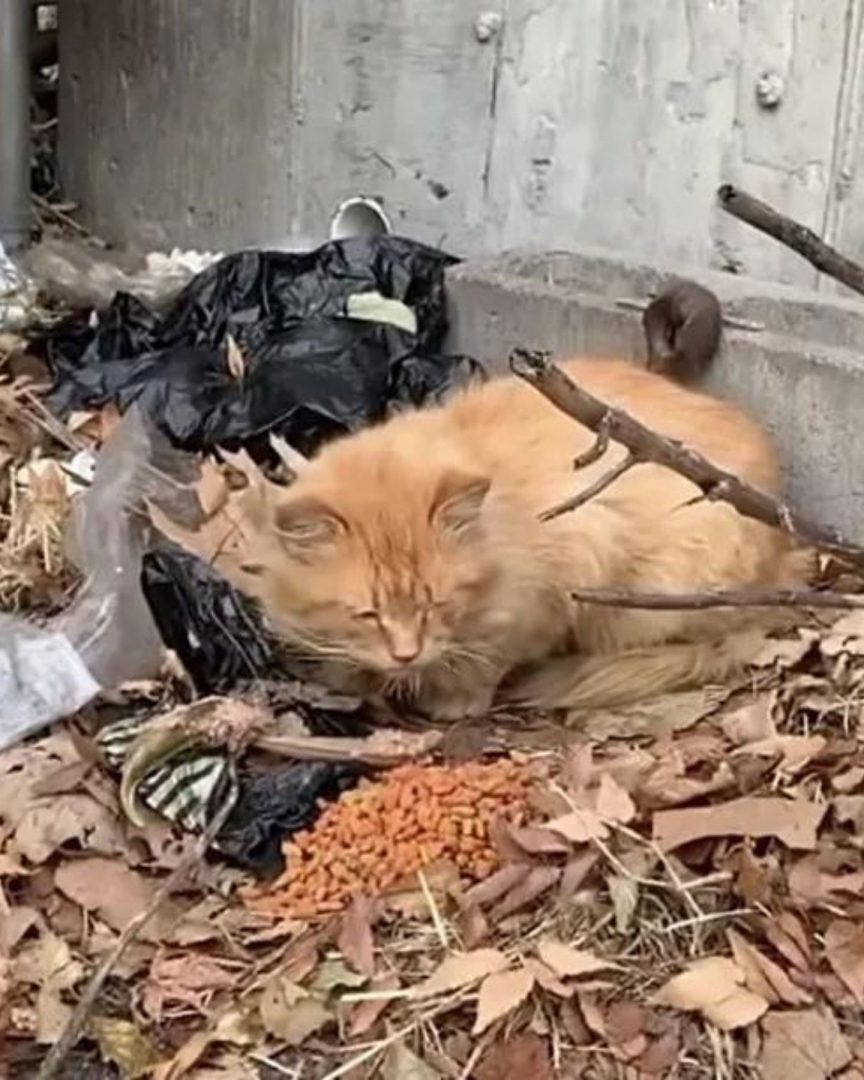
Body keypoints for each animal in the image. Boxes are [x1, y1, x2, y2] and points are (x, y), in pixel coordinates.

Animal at [239, 358, 812, 721]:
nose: (405, 655)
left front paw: (453, 697)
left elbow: (490, 657)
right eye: (366, 614)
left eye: (436, 604)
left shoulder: (564, 575)